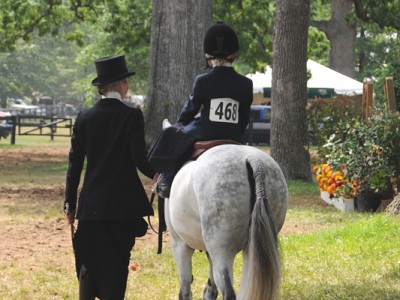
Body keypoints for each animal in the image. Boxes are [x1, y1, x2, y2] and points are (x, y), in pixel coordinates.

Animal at [164, 144, 290, 300]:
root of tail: (253, 159)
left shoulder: (180, 244)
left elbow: (185, 288)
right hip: (251, 250)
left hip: (222, 250)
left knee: (228, 290)